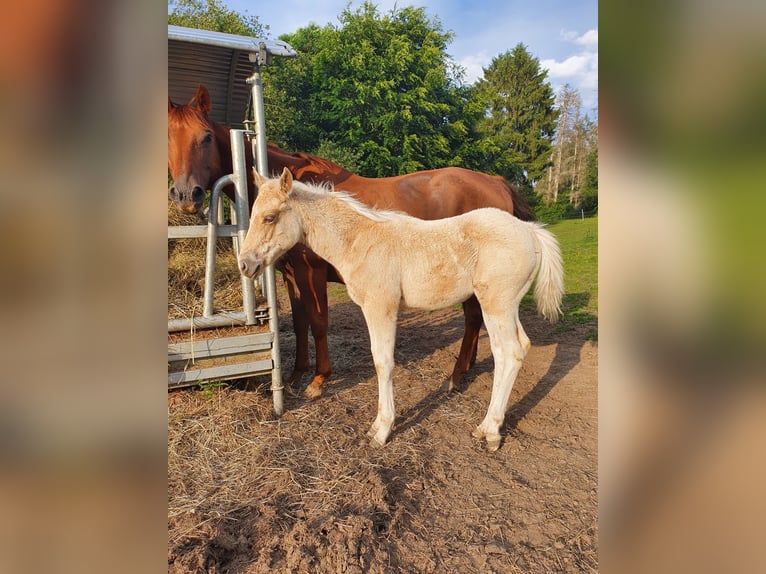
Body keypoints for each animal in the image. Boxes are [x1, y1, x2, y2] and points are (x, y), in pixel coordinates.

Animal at [168, 84, 536, 400]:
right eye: (168, 138)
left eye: (205, 138)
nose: (186, 195)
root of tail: (495, 181)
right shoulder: (291, 275)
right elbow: (299, 323)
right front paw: (296, 374)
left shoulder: (312, 274)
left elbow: (318, 323)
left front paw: (318, 380)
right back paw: (467, 367)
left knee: (473, 319)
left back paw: (456, 376)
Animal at [238, 169, 564, 452]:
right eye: (251, 216)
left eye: (269, 217)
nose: (245, 264)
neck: (360, 241)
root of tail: (529, 230)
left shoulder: (380, 306)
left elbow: (383, 362)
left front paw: (381, 430)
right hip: (508, 305)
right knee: (520, 346)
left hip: (496, 304)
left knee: (507, 351)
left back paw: (490, 431)